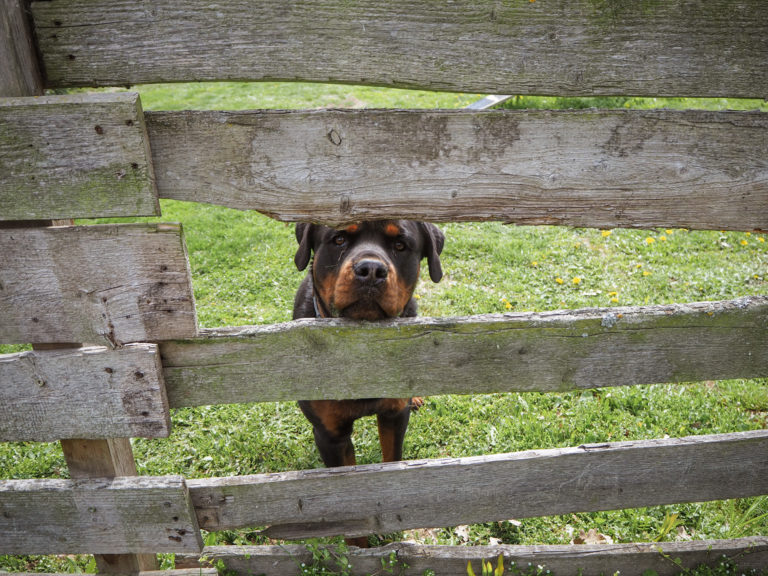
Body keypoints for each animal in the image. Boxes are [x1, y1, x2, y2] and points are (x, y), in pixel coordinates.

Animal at [292, 220, 444, 468]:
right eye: (339, 239)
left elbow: (392, 457)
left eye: (400, 245)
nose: (371, 270)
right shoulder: (330, 434)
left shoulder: (394, 416)